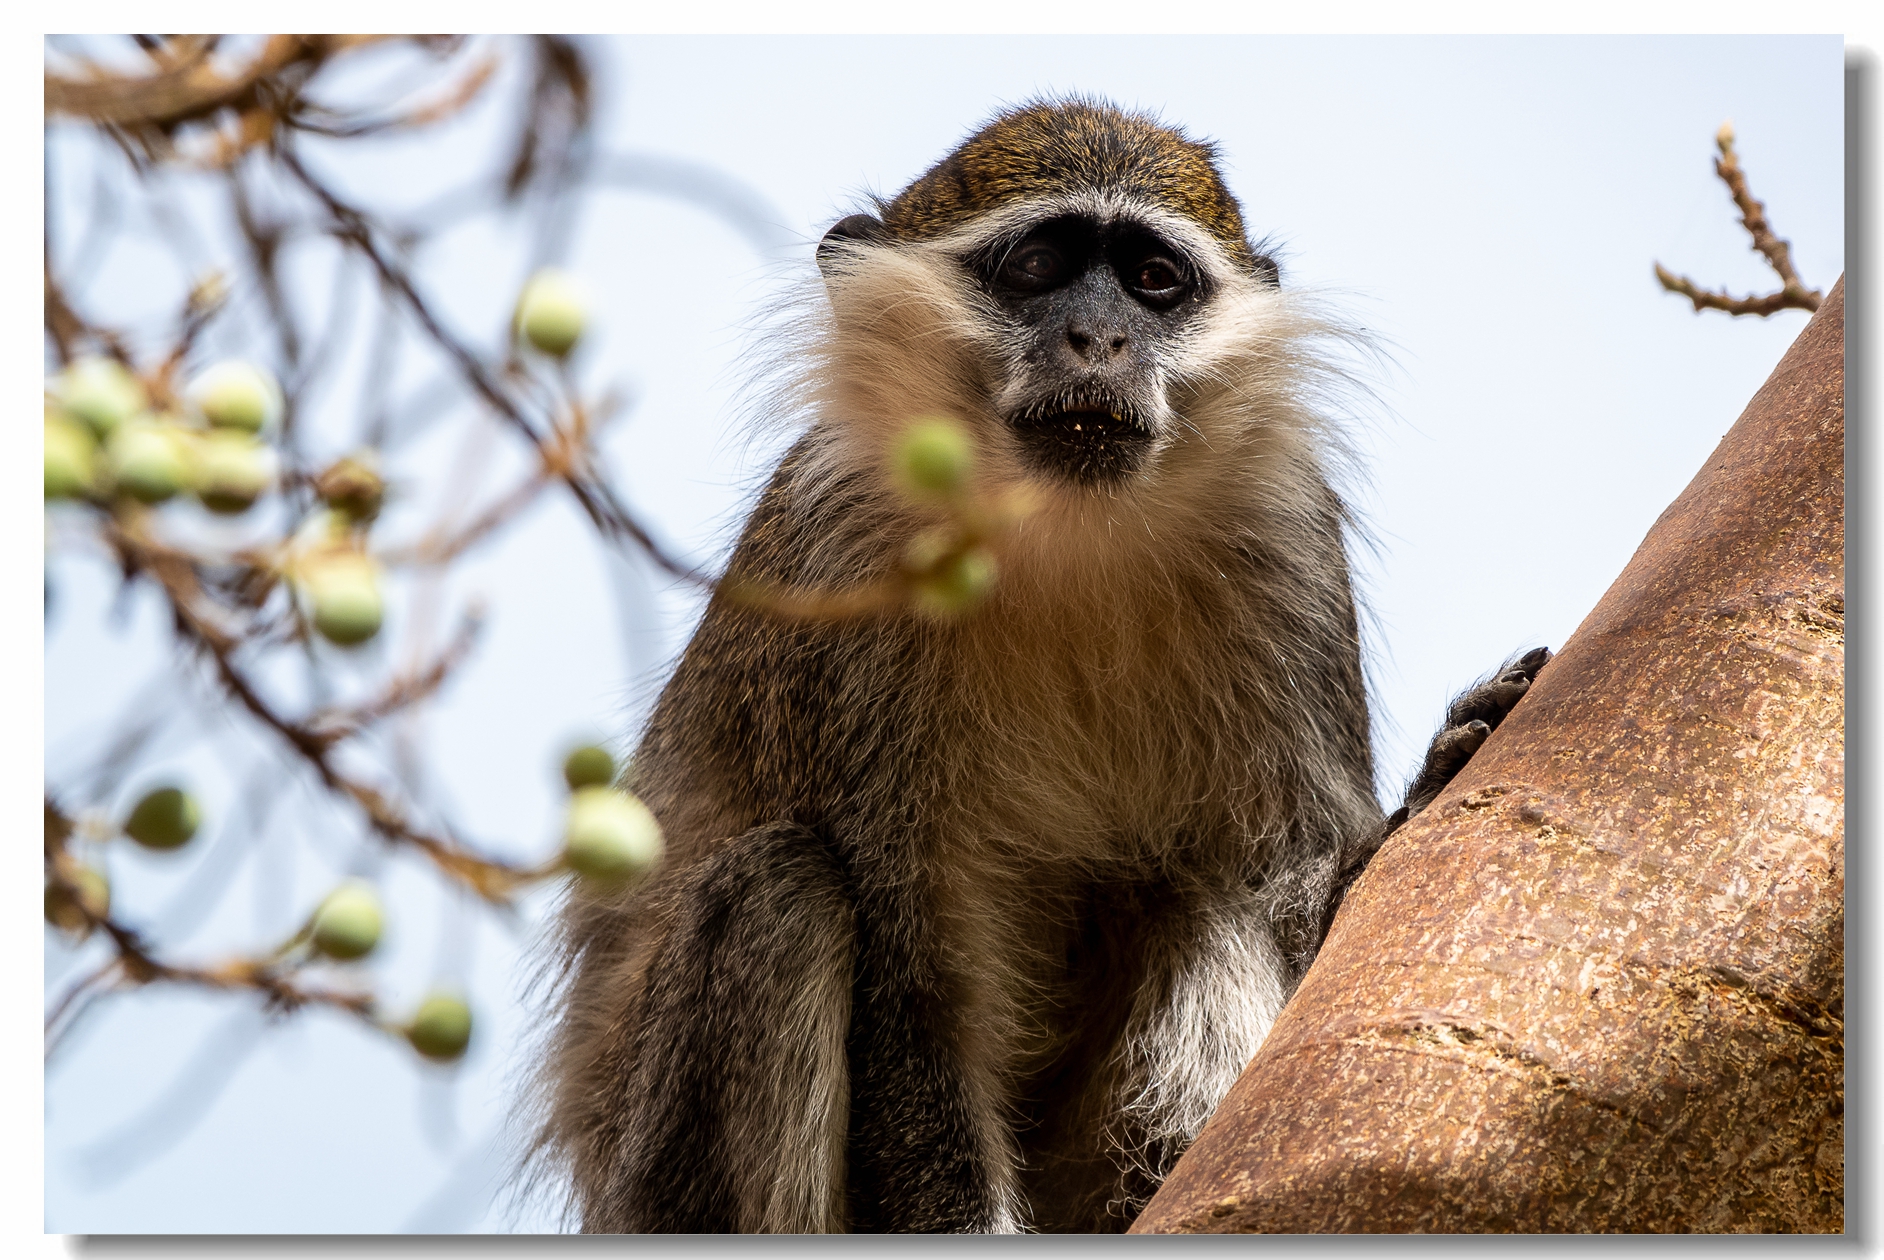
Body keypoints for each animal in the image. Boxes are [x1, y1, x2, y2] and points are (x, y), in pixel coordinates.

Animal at [538, 96, 1537, 1227]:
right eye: (1038, 266)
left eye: (1153, 279)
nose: (1098, 337)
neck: (1057, 539)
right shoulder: (842, 559)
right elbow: (912, 973)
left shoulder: (1291, 545)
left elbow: (1286, 882)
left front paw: (1406, 815)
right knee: (777, 890)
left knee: (1200, 899)